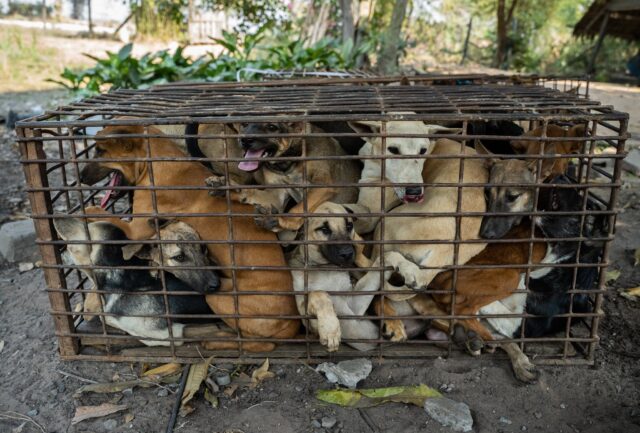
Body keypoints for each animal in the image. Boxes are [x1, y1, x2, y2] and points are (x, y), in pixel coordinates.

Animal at [80, 124, 300, 352]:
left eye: (99, 151)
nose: (80, 179)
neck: (157, 164)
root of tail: (292, 325)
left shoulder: (135, 230)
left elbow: (95, 210)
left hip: (217, 297)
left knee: (259, 344)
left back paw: (215, 341)